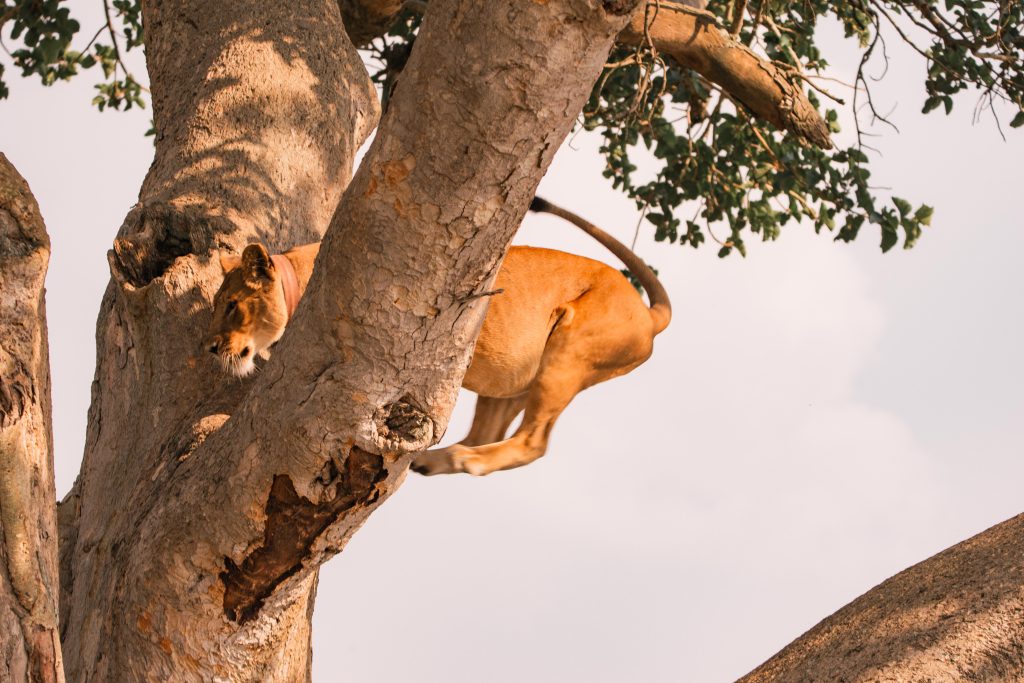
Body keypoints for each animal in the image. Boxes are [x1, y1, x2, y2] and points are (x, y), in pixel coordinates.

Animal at [204, 197, 671, 476]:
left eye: (232, 305)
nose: (210, 347)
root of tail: (650, 315)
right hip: (514, 382)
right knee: (489, 432)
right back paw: (433, 460)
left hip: (569, 352)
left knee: (533, 443)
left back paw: (460, 458)